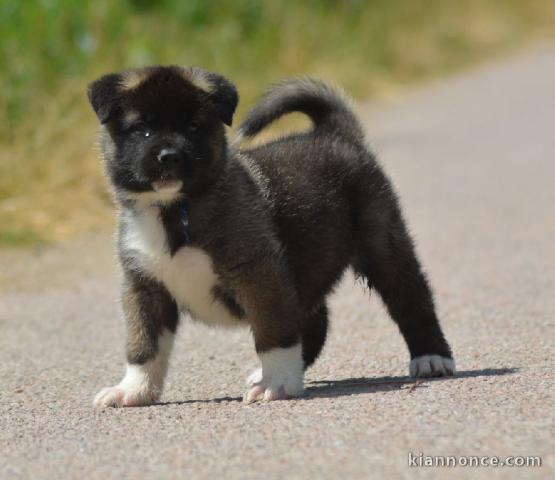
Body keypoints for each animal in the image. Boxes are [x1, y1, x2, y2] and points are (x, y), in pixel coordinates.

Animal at [89, 65, 456, 406]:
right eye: (142, 129)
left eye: (194, 126)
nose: (170, 157)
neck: (174, 209)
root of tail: (334, 134)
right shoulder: (144, 285)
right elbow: (143, 344)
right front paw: (133, 389)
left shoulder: (259, 274)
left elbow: (273, 332)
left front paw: (276, 382)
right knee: (315, 322)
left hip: (384, 244)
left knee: (411, 299)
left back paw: (431, 357)